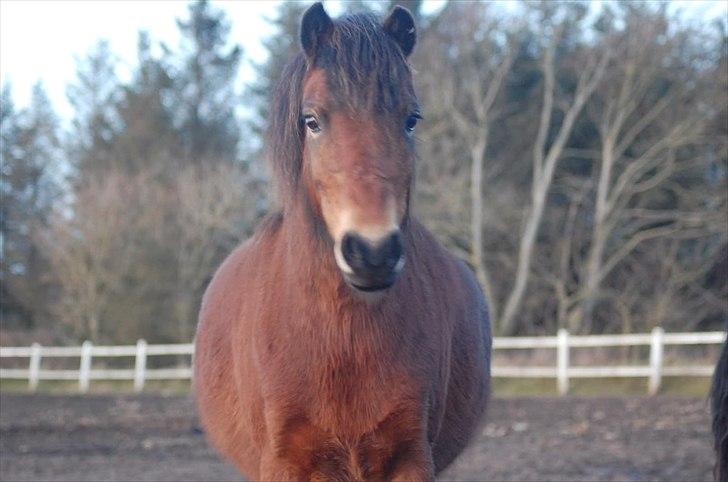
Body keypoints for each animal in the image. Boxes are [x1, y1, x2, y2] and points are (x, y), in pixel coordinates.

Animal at [193, 4, 492, 482]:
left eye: (411, 119)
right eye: (311, 120)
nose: (372, 253)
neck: (341, 341)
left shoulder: (411, 457)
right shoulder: (284, 462)